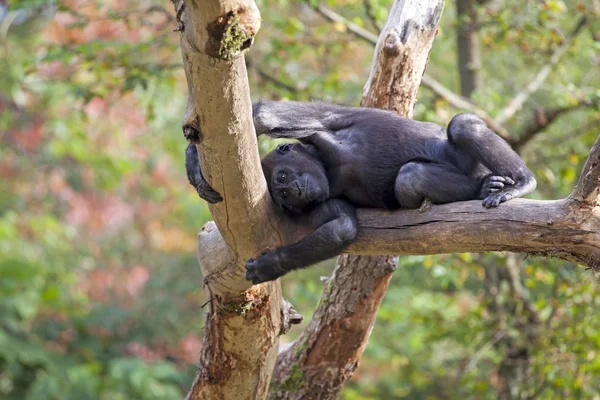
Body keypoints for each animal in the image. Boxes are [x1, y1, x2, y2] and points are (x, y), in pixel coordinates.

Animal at [185, 101, 536, 286]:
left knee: (462, 128)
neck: (325, 164)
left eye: (283, 178)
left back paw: (518, 182)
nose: (293, 192)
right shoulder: (325, 200)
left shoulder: (320, 121)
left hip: (474, 164)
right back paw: (486, 186)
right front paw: (274, 265)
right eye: (282, 197)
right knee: (410, 178)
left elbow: (263, 115)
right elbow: (342, 227)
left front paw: (193, 160)